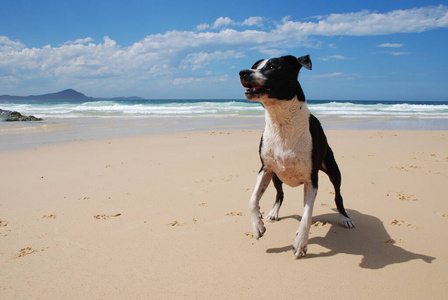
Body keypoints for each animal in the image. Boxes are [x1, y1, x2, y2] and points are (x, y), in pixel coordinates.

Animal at [240, 55, 356, 258]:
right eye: (255, 66)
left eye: (272, 67)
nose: (243, 72)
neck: (281, 121)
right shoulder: (265, 168)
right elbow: (253, 199)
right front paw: (257, 226)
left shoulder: (312, 179)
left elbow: (307, 215)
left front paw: (300, 243)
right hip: (276, 176)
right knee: (280, 194)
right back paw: (272, 213)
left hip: (333, 169)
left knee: (338, 195)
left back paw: (345, 218)